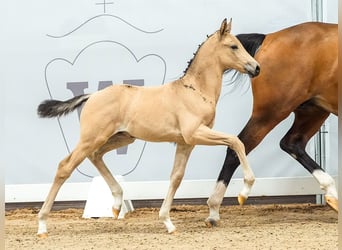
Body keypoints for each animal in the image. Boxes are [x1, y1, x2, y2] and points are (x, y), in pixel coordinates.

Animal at [36, 19, 260, 236]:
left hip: (121, 137)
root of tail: (92, 95)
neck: (195, 91)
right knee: (65, 166)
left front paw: (168, 222)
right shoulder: (195, 133)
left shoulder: (185, 143)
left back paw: (117, 204)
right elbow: (235, 141)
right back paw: (42, 225)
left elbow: (176, 177)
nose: (256, 67)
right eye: (233, 46)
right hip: (92, 138)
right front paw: (244, 192)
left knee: (96, 155)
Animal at [206, 21, 336, 227]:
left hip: (313, 110)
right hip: (272, 111)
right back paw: (215, 210)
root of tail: (268, 37)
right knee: (239, 146)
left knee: (292, 143)